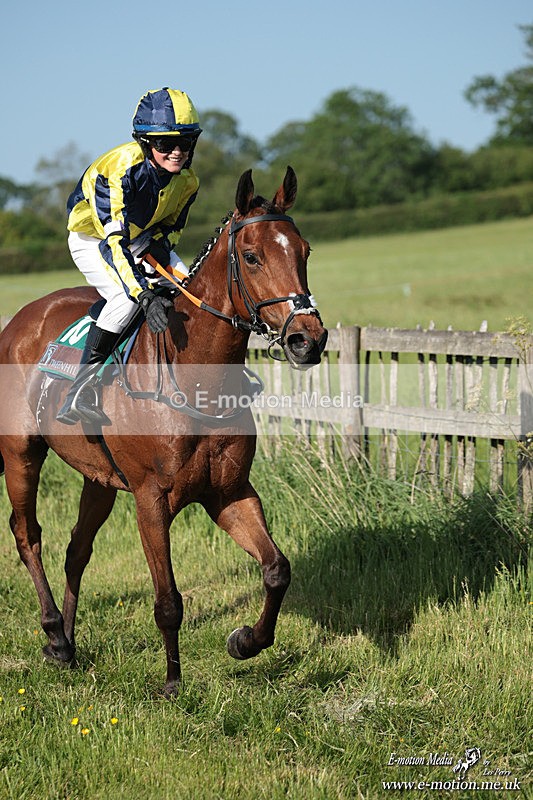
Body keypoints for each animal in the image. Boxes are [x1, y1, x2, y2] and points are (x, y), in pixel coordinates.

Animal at [0, 167, 327, 695]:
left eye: (305, 251)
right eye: (252, 256)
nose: (307, 339)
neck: (197, 382)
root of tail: (19, 321)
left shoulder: (229, 491)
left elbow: (277, 569)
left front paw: (245, 641)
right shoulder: (150, 500)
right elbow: (169, 599)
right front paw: (173, 683)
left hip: (99, 476)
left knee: (76, 549)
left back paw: (66, 645)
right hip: (20, 453)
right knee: (27, 534)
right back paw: (52, 633)